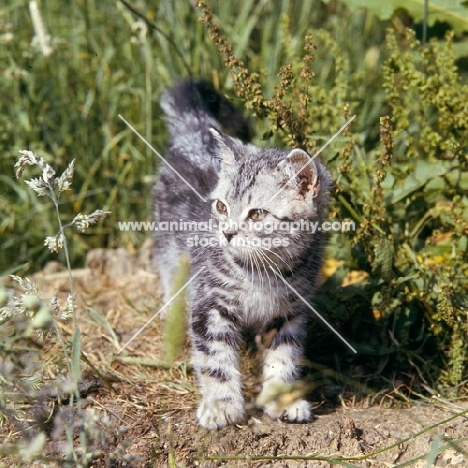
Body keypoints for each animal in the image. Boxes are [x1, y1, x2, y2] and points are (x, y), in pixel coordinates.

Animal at [155, 79, 330, 428]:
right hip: (168, 247)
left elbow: (284, 357)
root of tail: (191, 137)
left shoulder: (289, 311)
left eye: (257, 214)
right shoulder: (209, 305)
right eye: (222, 207)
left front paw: (282, 399)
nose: (227, 232)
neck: (263, 272)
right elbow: (216, 359)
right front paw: (221, 405)